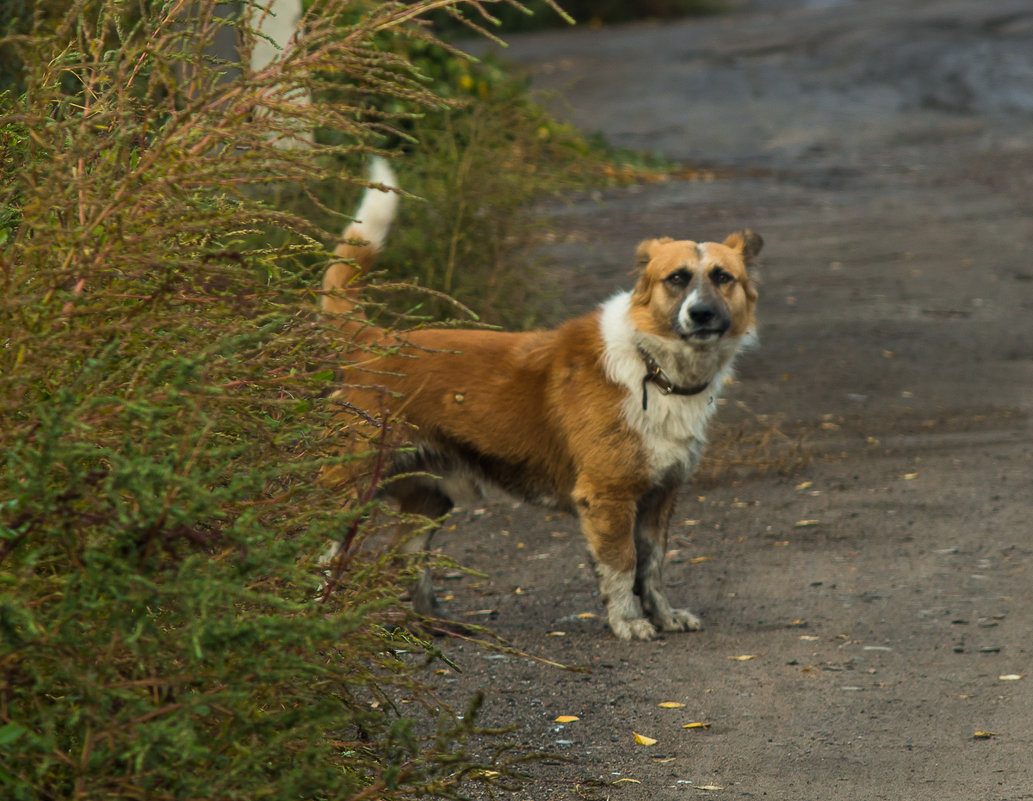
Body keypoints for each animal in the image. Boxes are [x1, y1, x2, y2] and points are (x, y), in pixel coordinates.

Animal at [318, 160, 764, 640]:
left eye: (723, 278)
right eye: (677, 279)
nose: (701, 314)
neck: (652, 366)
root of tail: (377, 340)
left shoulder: (660, 497)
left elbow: (654, 567)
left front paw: (663, 615)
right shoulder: (608, 497)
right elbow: (623, 567)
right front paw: (629, 622)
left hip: (430, 500)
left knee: (408, 558)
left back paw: (434, 622)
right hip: (349, 492)